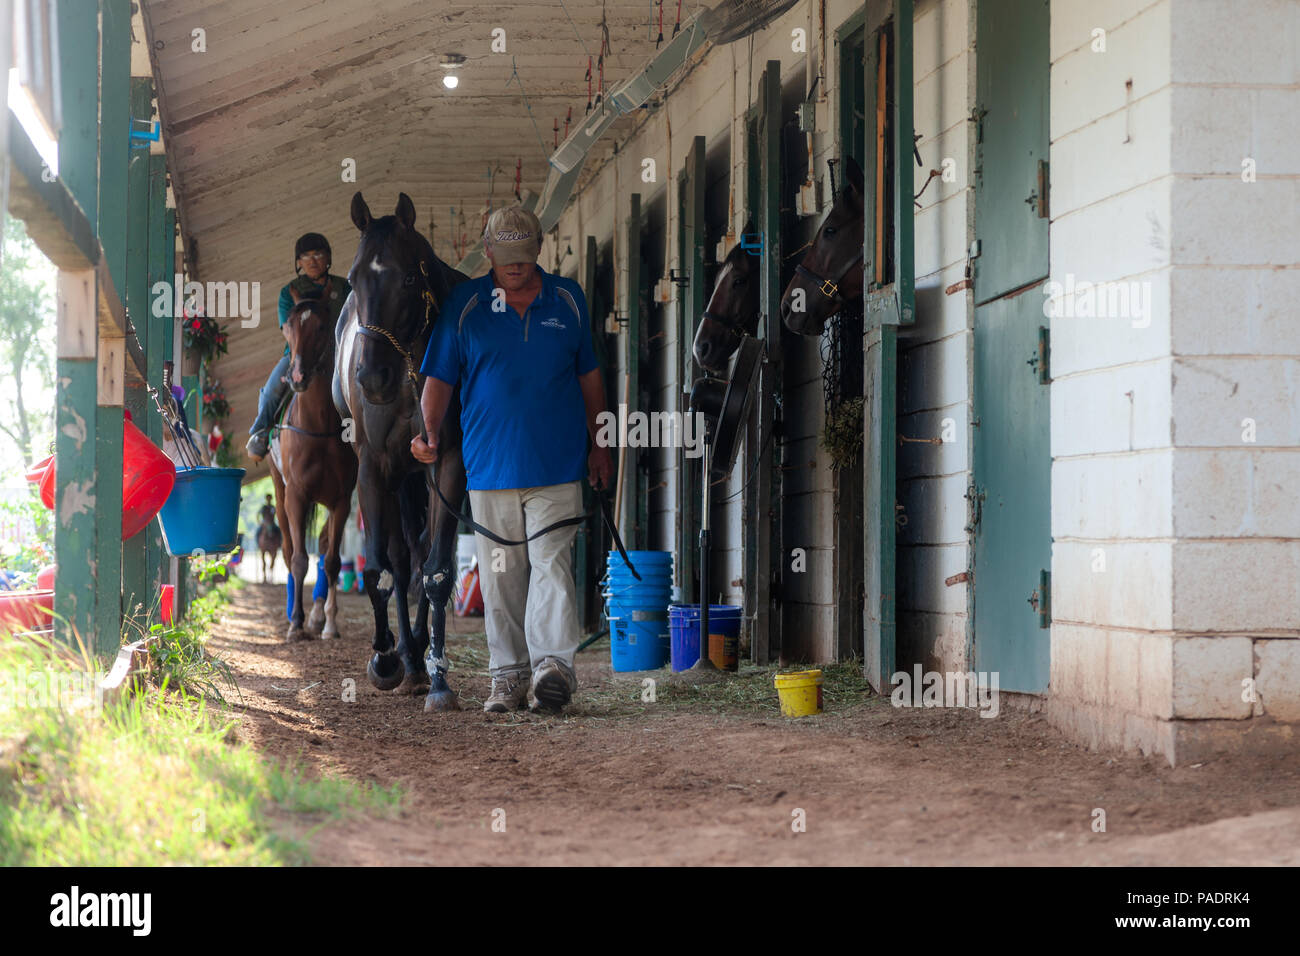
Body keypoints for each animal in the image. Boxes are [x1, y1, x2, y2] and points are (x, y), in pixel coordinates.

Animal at [269, 293, 358, 642]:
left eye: (322, 326)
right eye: (286, 327)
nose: (297, 377)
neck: (319, 428)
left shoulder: (342, 500)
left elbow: (331, 561)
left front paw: (329, 623)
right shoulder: (296, 495)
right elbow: (297, 560)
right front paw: (295, 623)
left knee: (321, 549)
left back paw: (318, 615)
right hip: (279, 491)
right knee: (288, 548)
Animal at [338, 191, 470, 712]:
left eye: (409, 279)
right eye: (353, 279)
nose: (372, 379)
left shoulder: (447, 465)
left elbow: (436, 573)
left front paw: (439, 680)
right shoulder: (373, 468)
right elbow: (378, 570)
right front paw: (385, 658)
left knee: (421, 555)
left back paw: (420, 660)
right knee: (400, 558)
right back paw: (406, 658)